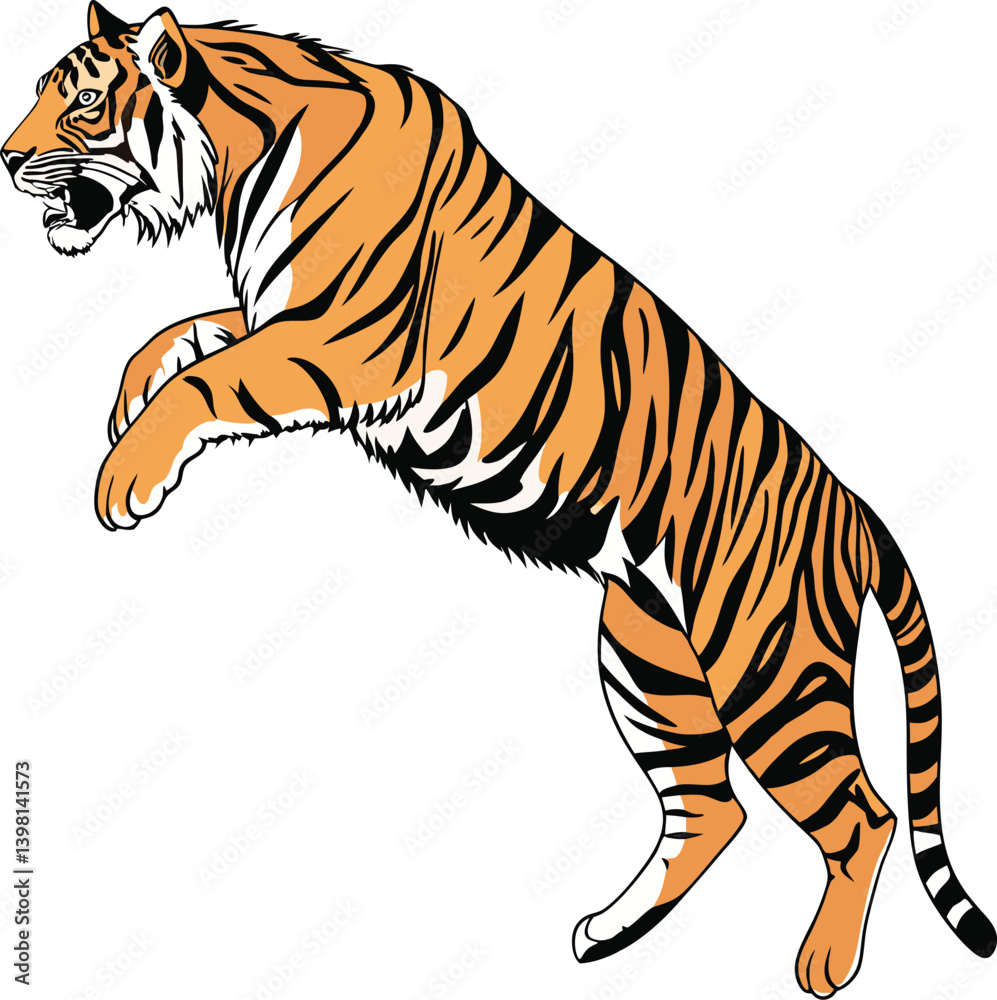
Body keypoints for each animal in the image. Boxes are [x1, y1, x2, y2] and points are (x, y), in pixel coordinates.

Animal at [3, 4, 993, 995]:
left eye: (82, 103)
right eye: (43, 93)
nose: (9, 160)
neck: (238, 164)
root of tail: (854, 509)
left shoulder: (340, 346)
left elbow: (207, 379)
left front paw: (126, 478)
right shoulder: (275, 318)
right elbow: (181, 337)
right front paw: (125, 403)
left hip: (768, 669)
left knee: (860, 814)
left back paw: (823, 962)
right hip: (650, 665)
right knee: (710, 811)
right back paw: (606, 934)